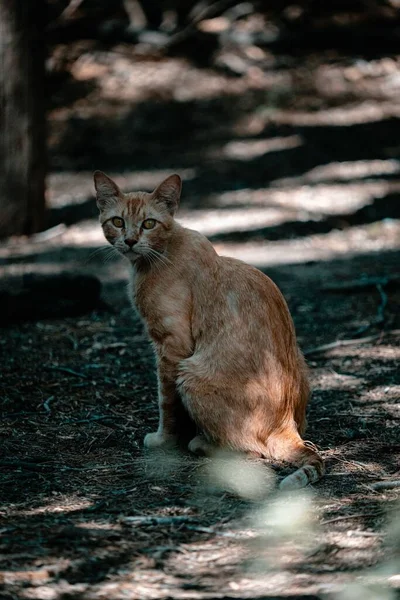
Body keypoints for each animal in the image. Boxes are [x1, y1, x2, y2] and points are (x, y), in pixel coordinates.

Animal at [94, 171, 324, 490]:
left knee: (254, 450)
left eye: (148, 224)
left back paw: (201, 443)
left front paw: (166, 440)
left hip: (191, 375)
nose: (129, 240)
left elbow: (167, 403)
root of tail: (287, 422)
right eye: (117, 221)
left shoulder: (172, 345)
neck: (158, 256)